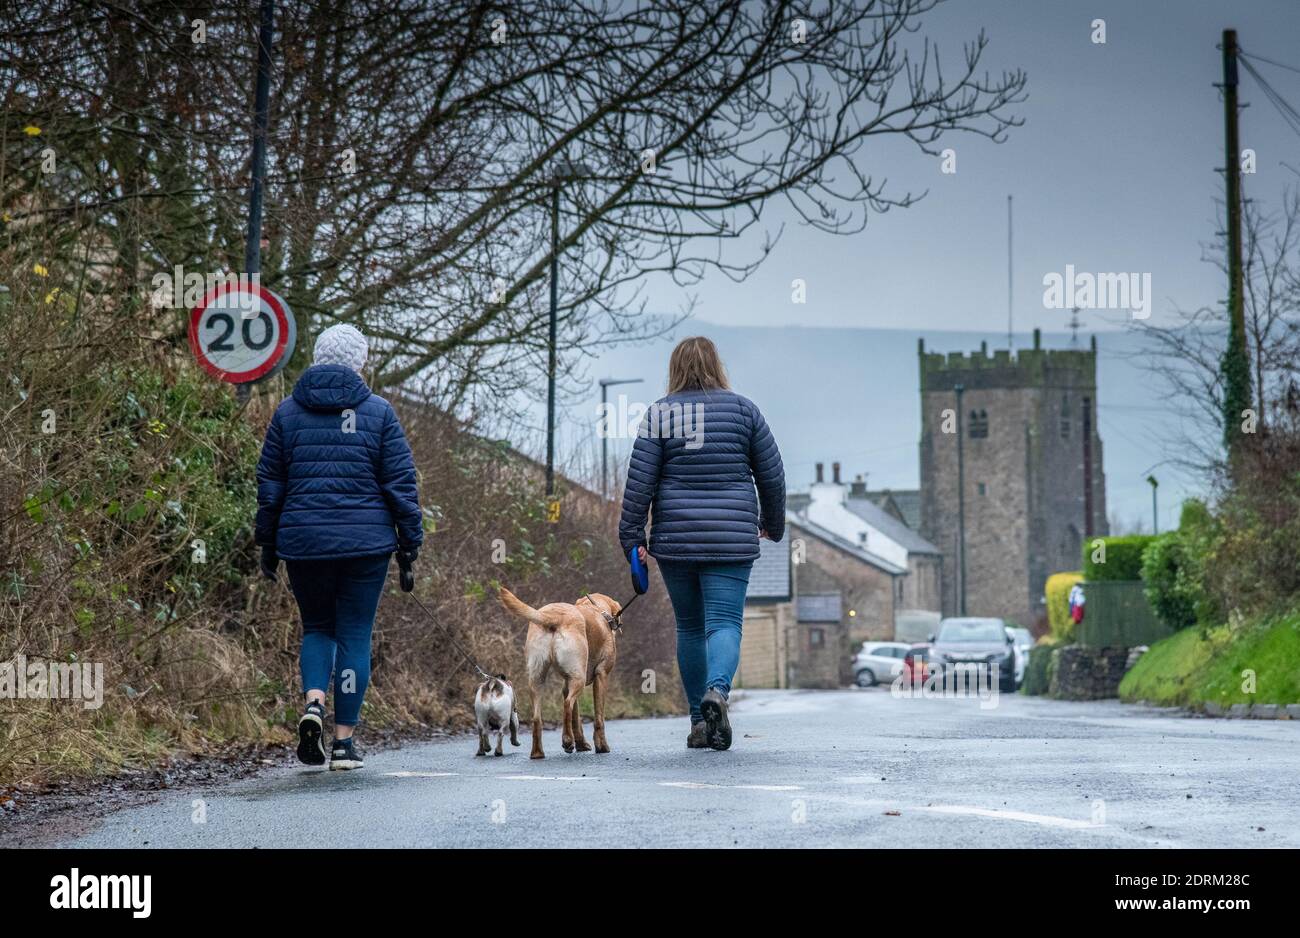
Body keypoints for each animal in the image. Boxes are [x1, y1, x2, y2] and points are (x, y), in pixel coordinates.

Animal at [496, 587, 618, 758]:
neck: (596, 609)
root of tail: (553, 616)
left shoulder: (567, 683)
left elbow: (576, 717)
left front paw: (581, 743)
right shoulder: (601, 676)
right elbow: (598, 718)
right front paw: (601, 746)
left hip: (537, 679)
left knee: (537, 718)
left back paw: (538, 752)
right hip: (579, 679)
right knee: (567, 704)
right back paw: (567, 740)